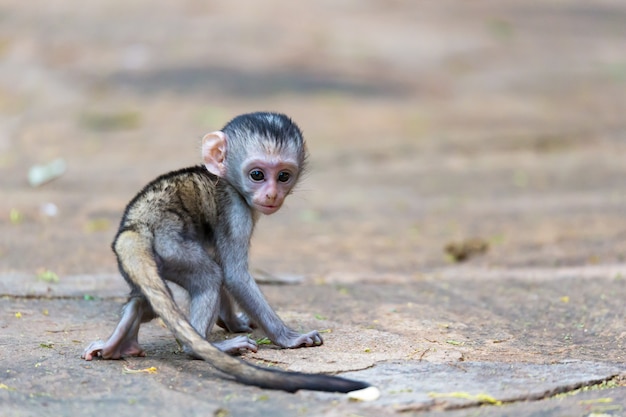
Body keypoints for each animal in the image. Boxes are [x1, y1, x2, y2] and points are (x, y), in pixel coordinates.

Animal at [80, 112, 368, 392]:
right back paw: (202, 347)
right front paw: (289, 338)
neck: (226, 179)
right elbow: (233, 274)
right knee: (209, 278)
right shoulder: (237, 210)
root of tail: (135, 227)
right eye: (257, 175)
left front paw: (232, 322)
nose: (272, 195)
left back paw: (117, 340)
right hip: (171, 246)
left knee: (146, 300)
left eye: (284, 176)